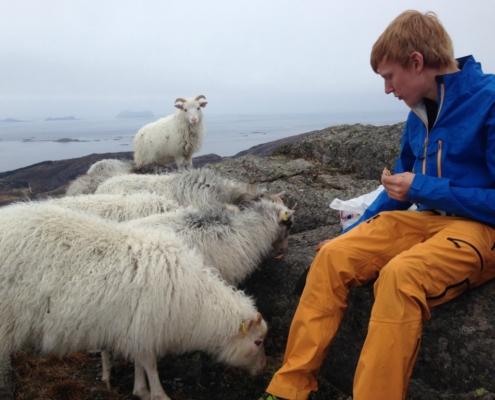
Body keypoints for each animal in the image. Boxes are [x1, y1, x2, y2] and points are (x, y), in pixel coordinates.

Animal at [0, 203, 268, 400]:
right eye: (257, 342)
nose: (262, 370)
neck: (197, 301)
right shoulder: (146, 325)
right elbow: (150, 364)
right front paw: (158, 394)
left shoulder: (135, 328)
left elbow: (140, 362)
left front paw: (140, 389)